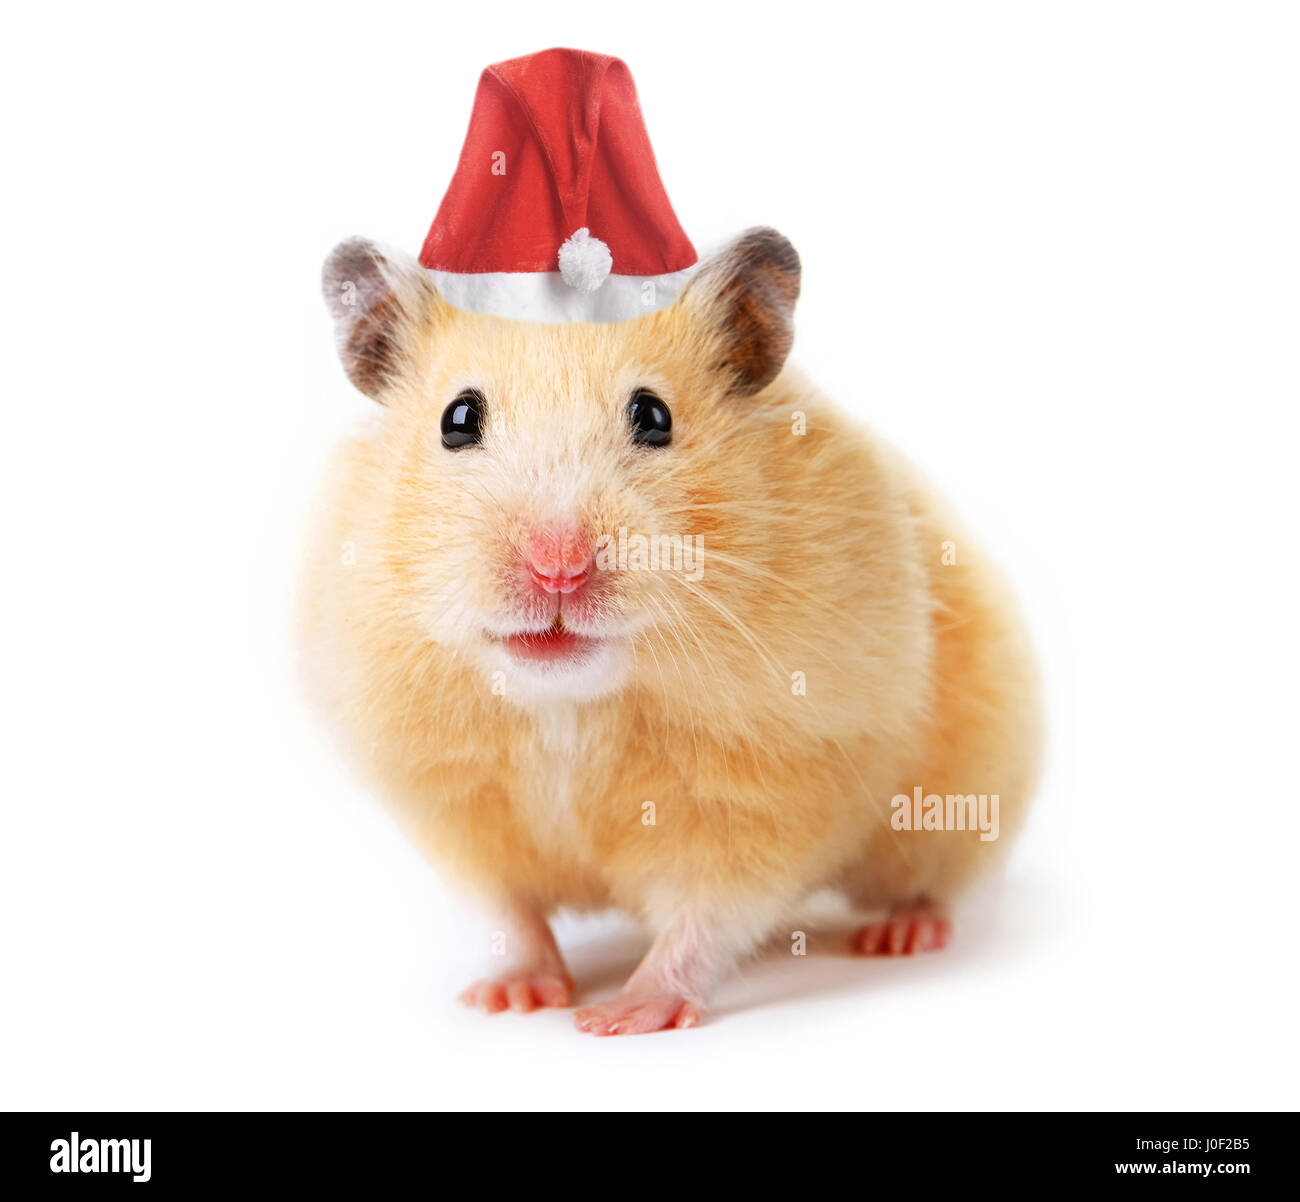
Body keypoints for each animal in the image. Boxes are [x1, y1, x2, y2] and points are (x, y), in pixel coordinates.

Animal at [302, 228, 1041, 1035]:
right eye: (457, 419)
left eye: (654, 416)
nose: (557, 568)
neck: (570, 706)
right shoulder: (454, 811)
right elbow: (508, 913)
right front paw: (510, 998)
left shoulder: (770, 797)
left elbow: (704, 918)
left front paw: (617, 1016)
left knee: (932, 881)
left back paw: (903, 934)